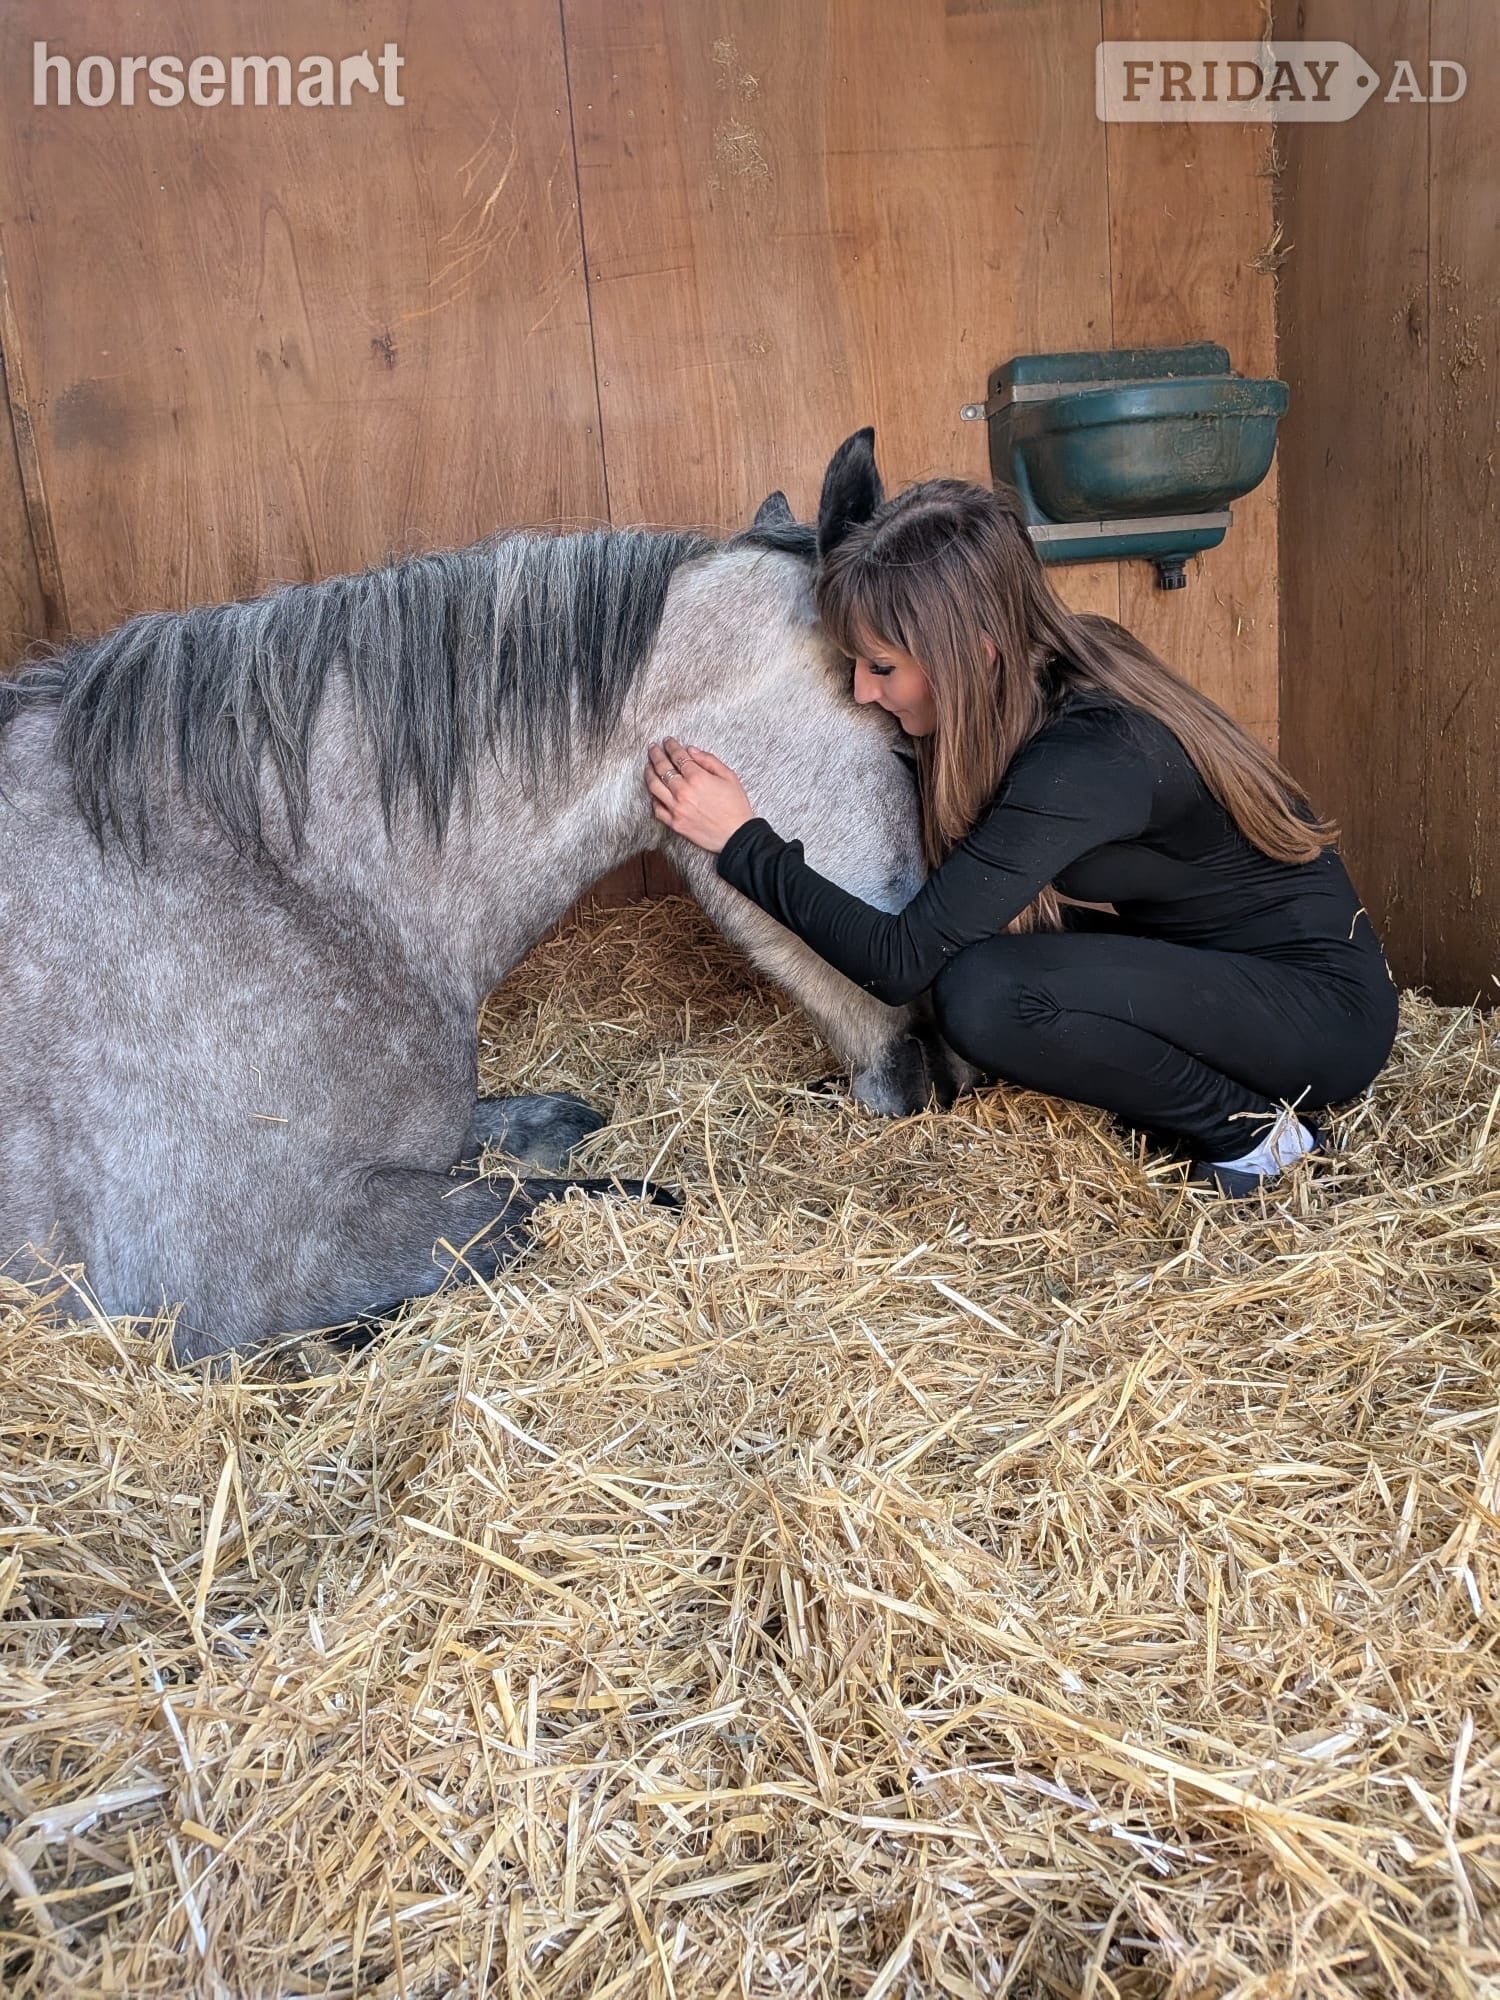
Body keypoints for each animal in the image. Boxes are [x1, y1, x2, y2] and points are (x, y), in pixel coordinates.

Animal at [0, 429, 967, 1361]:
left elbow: (554, 1129)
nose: (940, 1073)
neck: (286, 887)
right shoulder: (250, 1267)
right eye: (903, 754)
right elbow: (559, 1206)